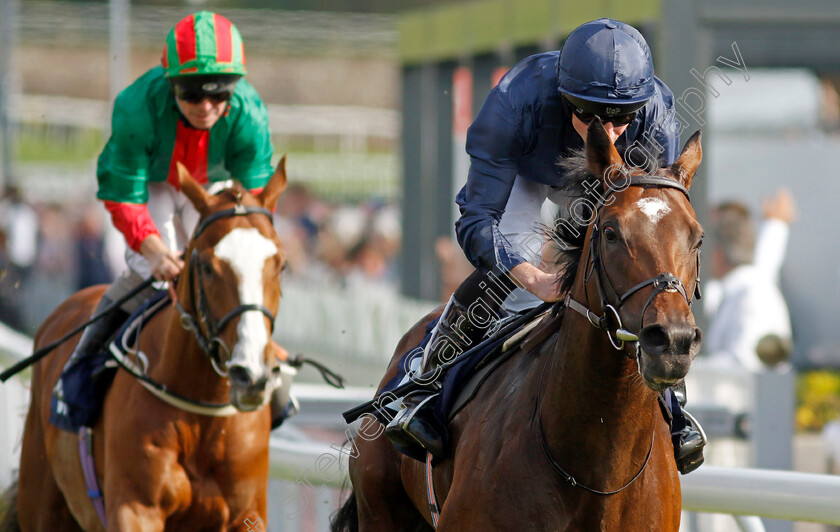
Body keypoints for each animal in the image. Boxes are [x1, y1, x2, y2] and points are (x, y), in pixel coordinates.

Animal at [6, 160, 288, 528]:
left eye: (281, 265)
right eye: (207, 267)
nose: (251, 374)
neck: (202, 409)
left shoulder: (247, 513)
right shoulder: (136, 507)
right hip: (42, 501)